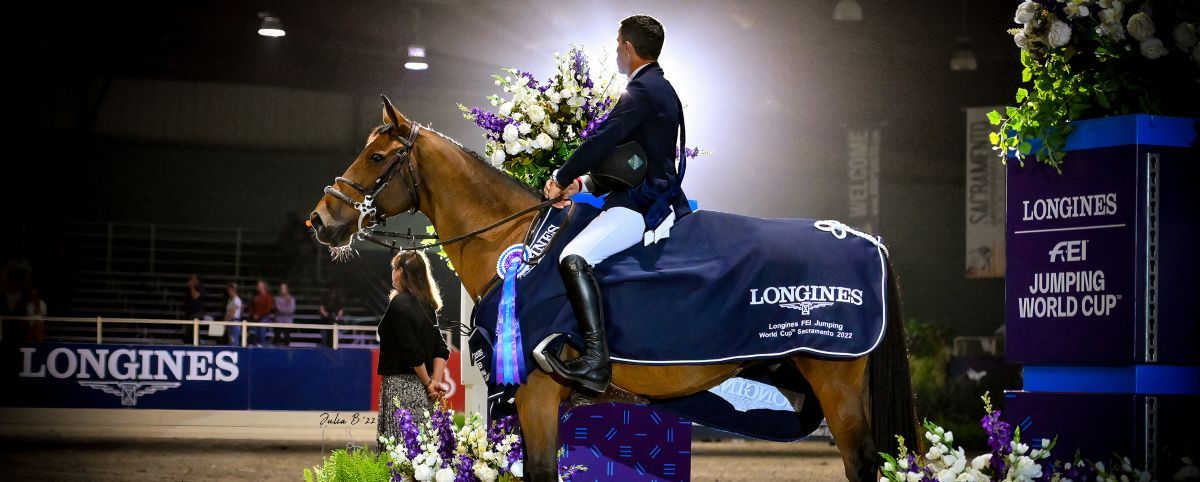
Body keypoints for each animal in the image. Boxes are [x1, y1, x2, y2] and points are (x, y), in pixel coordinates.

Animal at [308, 96, 918, 482]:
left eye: (377, 157)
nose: (322, 219)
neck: (515, 239)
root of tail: (867, 240)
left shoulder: (537, 394)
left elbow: (541, 472)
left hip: (835, 379)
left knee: (862, 463)